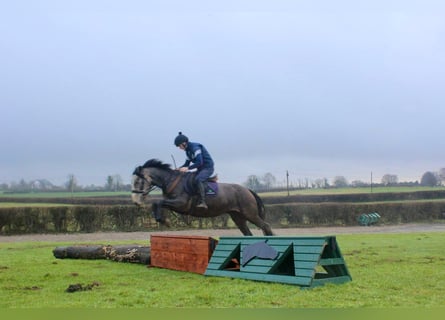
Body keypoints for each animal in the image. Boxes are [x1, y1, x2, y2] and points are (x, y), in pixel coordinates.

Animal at [130, 159, 272, 236]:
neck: (170, 180)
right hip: (238, 217)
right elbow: (158, 204)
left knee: (265, 226)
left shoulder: (181, 203)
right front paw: (164, 220)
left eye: (138, 181)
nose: (135, 201)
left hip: (250, 214)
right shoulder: (172, 203)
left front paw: (165, 221)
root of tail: (247, 190)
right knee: (248, 233)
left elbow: (158, 202)